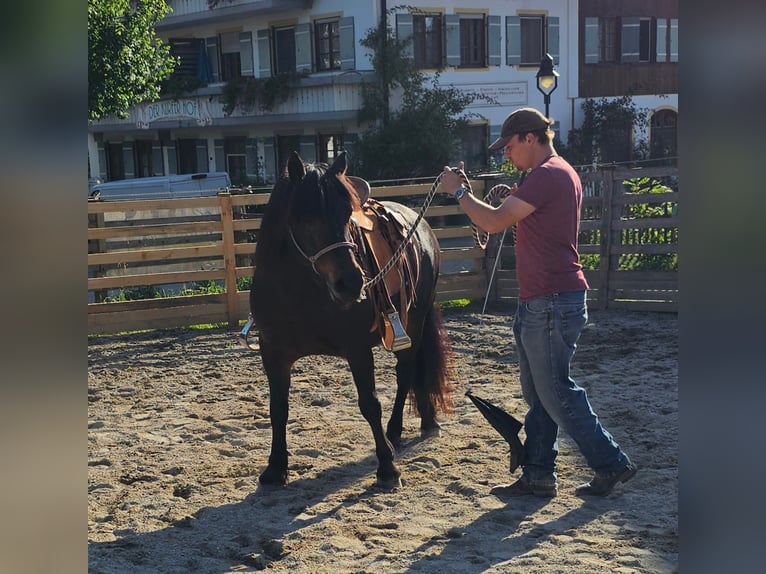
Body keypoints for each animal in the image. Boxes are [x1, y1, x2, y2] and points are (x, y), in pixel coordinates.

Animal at [249, 151, 452, 488]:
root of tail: (420, 224)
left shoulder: (358, 350)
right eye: (303, 216)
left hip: (415, 322)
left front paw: (387, 467)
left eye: (347, 213)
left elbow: (369, 404)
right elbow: (278, 408)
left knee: (405, 373)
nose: (351, 282)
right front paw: (275, 467)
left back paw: (399, 429)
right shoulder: (272, 352)